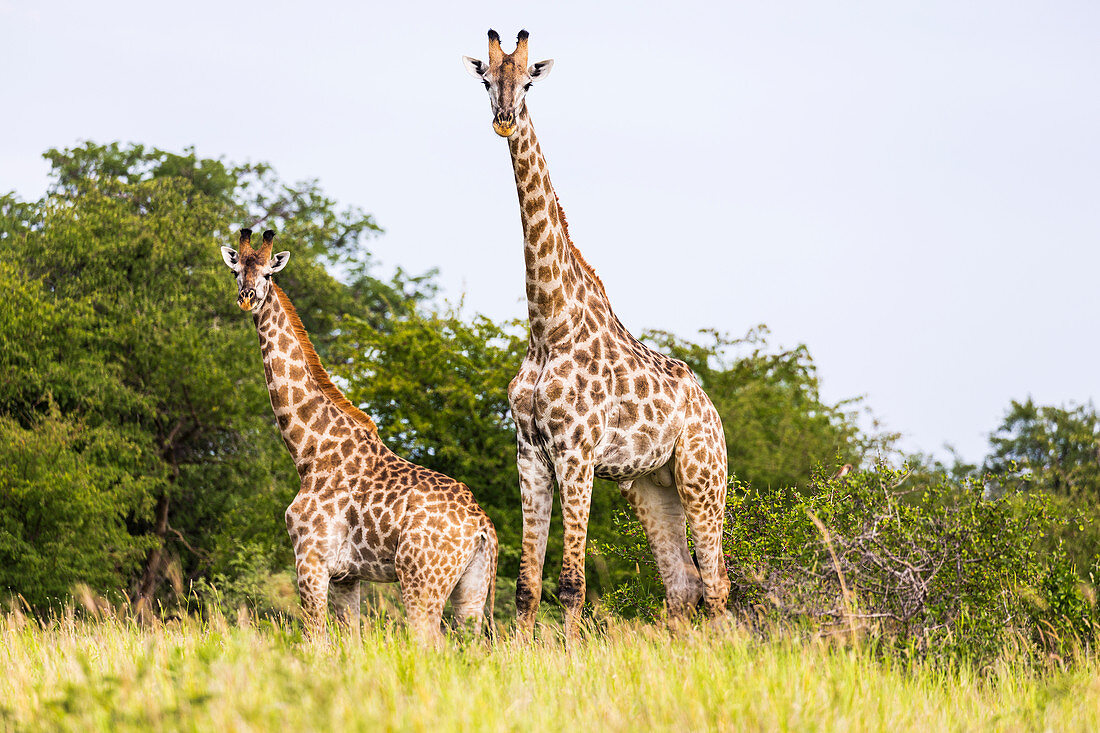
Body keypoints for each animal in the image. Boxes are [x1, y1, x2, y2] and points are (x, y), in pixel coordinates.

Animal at [218, 226, 495, 638]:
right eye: (237, 272)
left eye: (268, 273)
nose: (247, 297)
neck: (309, 449)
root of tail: (482, 526)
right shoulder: (346, 576)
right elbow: (349, 639)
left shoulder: (311, 561)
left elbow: (314, 639)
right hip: (471, 590)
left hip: (421, 580)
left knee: (430, 641)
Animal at [464, 29, 730, 633]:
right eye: (486, 80)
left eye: (529, 81)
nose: (504, 120)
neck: (548, 327)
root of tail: (712, 411)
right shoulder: (530, 454)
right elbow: (527, 587)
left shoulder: (577, 454)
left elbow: (570, 585)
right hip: (653, 487)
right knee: (682, 584)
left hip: (703, 479)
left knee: (718, 586)